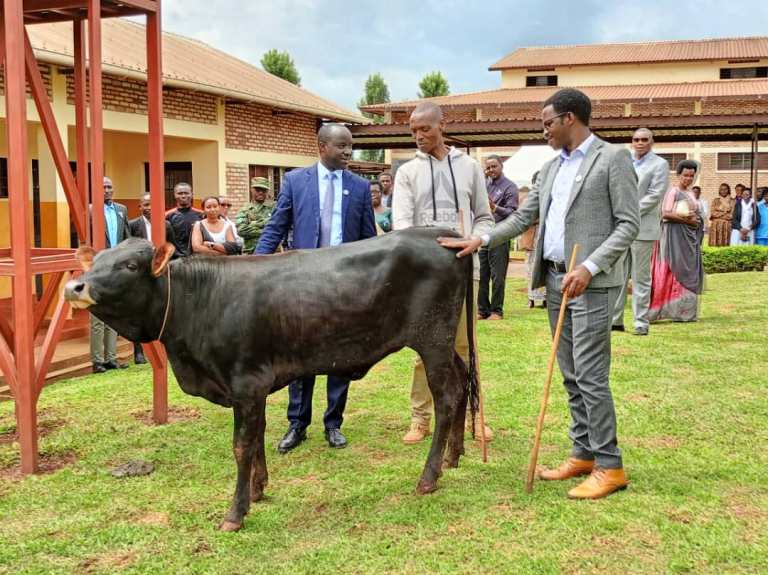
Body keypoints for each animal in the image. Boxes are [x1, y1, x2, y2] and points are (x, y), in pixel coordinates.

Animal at [63, 227, 476, 532]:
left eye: (131, 265)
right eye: (95, 261)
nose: (74, 286)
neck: (200, 302)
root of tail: (439, 233)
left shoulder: (246, 384)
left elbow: (241, 446)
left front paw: (236, 512)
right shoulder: (253, 389)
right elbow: (258, 434)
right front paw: (258, 489)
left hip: (432, 340)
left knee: (447, 397)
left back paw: (429, 476)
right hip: (445, 345)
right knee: (463, 381)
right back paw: (454, 455)